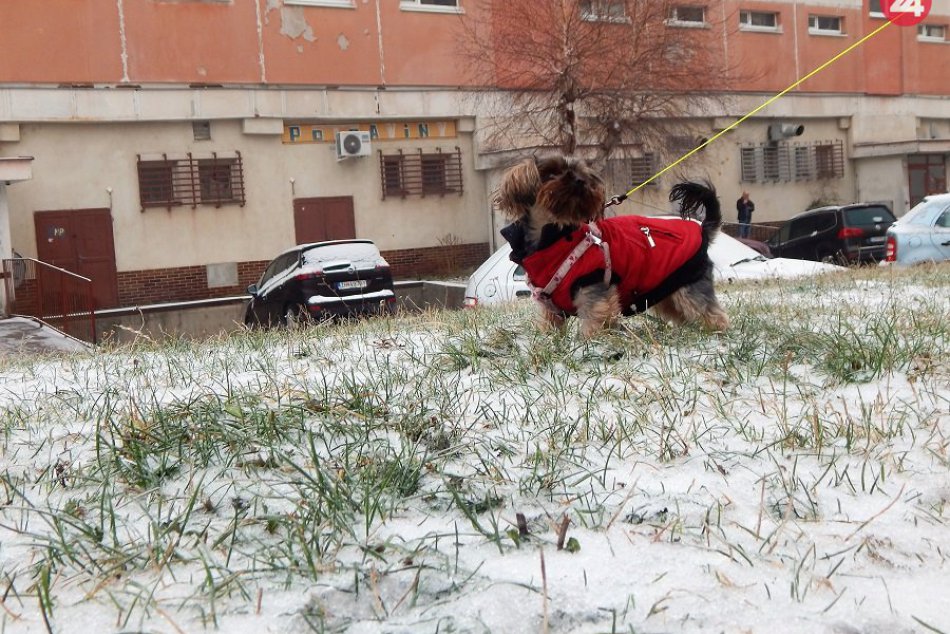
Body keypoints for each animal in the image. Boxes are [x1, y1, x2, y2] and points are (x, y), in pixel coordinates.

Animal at [498, 155, 728, 338]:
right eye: (552, 172)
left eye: (582, 173)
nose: (580, 181)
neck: (552, 239)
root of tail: (703, 231)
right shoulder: (550, 308)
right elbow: (550, 327)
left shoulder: (593, 288)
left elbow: (595, 321)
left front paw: (590, 346)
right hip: (668, 288)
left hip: (691, 283)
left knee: (709, 311)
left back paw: (716, 334)